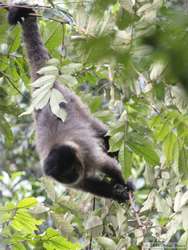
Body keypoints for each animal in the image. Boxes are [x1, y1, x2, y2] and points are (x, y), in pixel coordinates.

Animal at [7, 4, 134, 203]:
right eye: (65, 176)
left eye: (71, 170)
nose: (71, 176)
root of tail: (50, 88)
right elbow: (87, 184)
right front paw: (117, 194)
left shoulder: (87, 154)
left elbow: (108, 166)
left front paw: (127, 185)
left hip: (74, 101)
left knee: (103, 134)